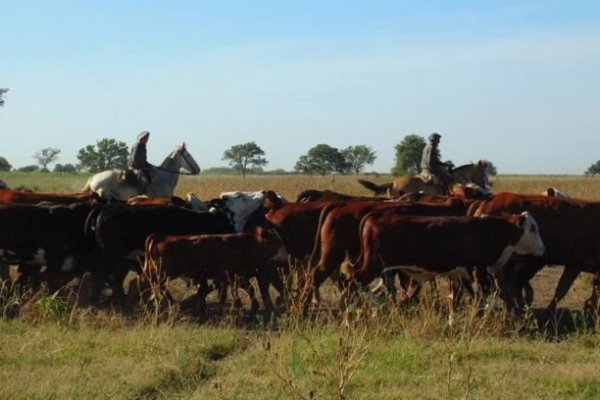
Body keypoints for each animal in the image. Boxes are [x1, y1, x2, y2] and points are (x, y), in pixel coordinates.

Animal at [132, 228, 290, 318]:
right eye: (276, 242)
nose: (286, 255)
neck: (244, 244)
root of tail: (162, 236)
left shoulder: (232, 275)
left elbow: (241, 290)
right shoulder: (231, 274)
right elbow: (236, 291)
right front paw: (238, 306)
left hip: (157, 271)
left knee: (147, 282)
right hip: (163, 271)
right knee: (149, 283)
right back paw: (160, 303)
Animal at [350, 212, 548, 318]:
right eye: (532, 228)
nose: (543, 249)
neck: (488, 230)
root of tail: (373, 216)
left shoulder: (459, 273)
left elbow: (457, 297)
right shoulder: (480, 270)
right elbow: (482, 295)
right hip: (372, 266)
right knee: (354, 282)